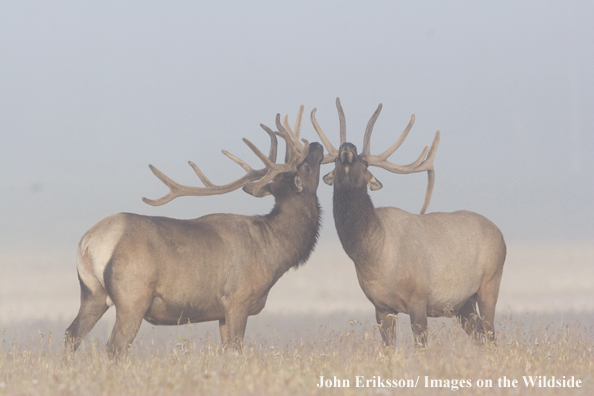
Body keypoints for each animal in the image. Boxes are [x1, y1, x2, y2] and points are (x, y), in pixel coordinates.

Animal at [64, 106, 322, 358]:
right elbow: (236, 350)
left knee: (71, 334)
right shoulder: (238, 299)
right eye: (307, 167)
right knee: (116, 346)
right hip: (132, 296)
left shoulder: (222, 312)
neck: (274, 251)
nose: (317, 144)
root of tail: (89, 242)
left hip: (92, 293)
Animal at [310, 97, 504, 348]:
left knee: (491, 336)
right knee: (481, 337)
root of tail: (501, 235)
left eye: (364, 161)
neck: (372, 256)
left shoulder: (419, 299)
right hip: (463, 304)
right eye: (334, 159)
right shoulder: (381, 307)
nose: (347, 146)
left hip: (490, 283)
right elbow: (388, 348)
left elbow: (421, 347)